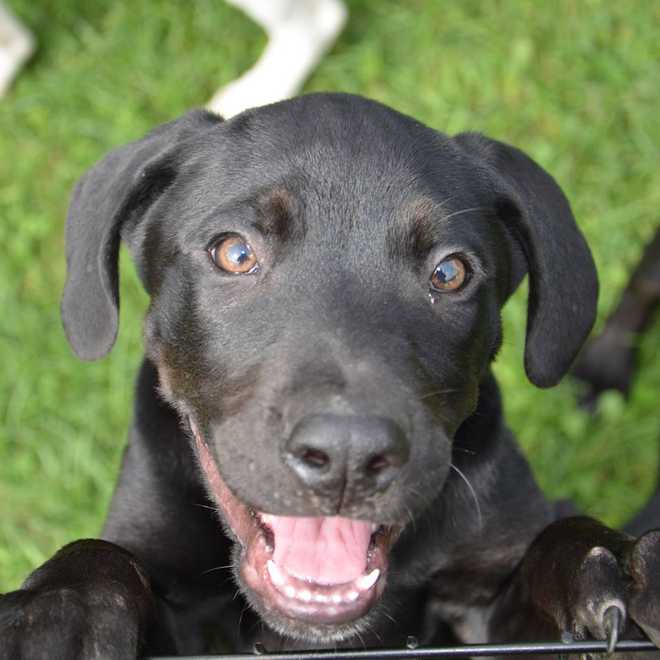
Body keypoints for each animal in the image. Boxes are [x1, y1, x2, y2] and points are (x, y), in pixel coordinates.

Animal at [1, 94, 660, 660]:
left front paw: (613, 566)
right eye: (234, 254)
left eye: (449, 272)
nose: (348, 456)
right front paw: (58, 610)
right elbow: (100, 555)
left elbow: (559, 545)